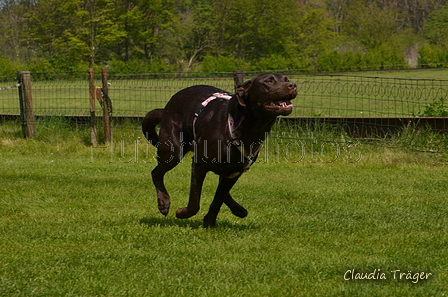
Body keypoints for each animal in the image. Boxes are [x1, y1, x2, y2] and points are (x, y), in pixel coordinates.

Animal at [144, 73, 298, 225]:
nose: (293, 85)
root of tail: (167, 106)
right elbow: (195, 202)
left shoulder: (235, 172)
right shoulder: (199, 164)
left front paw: (209, 223)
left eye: (286, 79)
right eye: (269, 81)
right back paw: (164, 203)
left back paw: (238, 209)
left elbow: (218, 199)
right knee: (156, 173)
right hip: (173, 151)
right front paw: (182, 213)